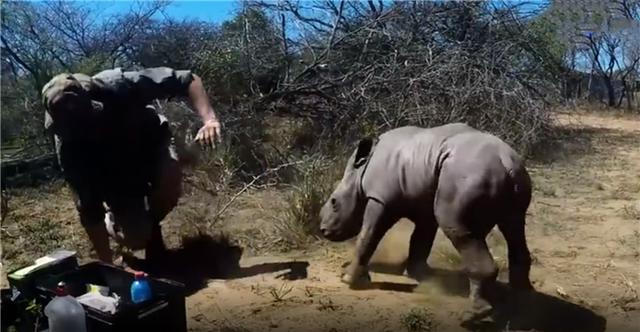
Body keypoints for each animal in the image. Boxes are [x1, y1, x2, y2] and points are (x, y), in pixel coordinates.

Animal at [320, 122, 536, 320]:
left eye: (334, 202)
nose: (323, 230)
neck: (360, 173)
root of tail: (507, 163)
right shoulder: (423, 200)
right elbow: (421, 239)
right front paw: (416, 274)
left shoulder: (381, 198)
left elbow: (368, 236)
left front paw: (348, 279)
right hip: (513, 179)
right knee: (513, 227)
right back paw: (521, 297)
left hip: (469, 177)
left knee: (457, 226)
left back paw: (473, 316)